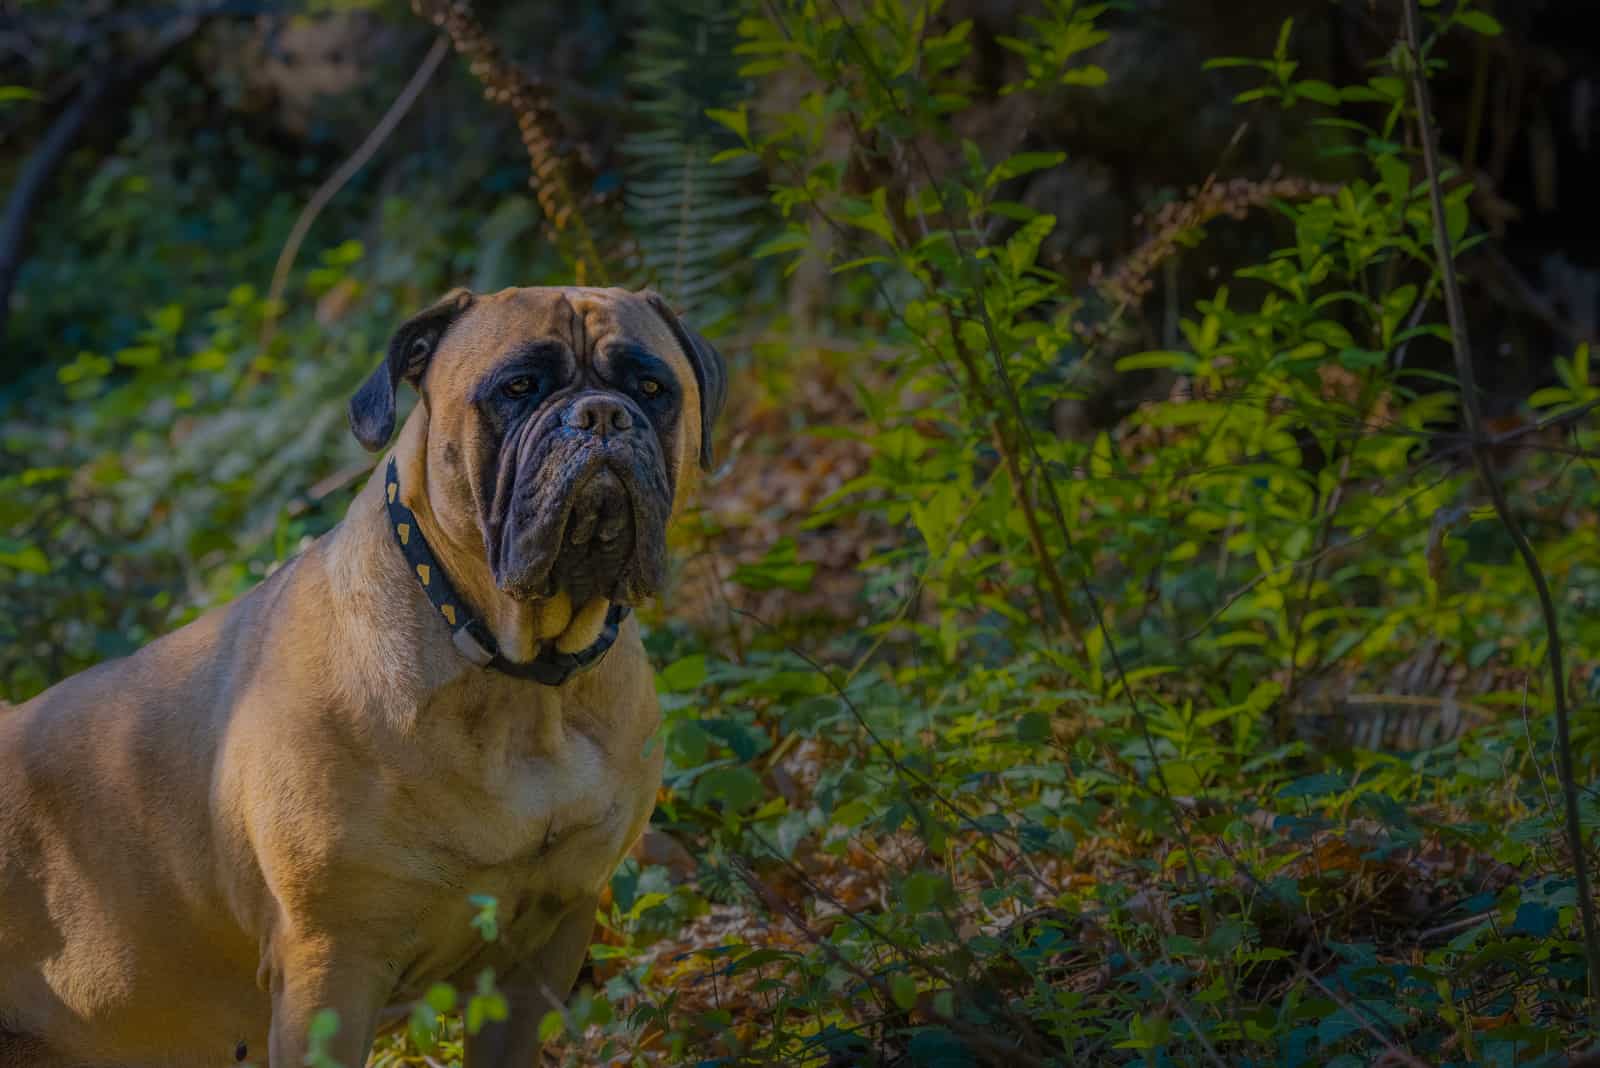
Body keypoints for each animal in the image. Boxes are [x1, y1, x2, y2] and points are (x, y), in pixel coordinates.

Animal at [0, 286, 726, 1068]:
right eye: (518, 388)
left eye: (650, 389)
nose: (599, 415)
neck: (521, 679)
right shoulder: (331, 970)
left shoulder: (542, 949)